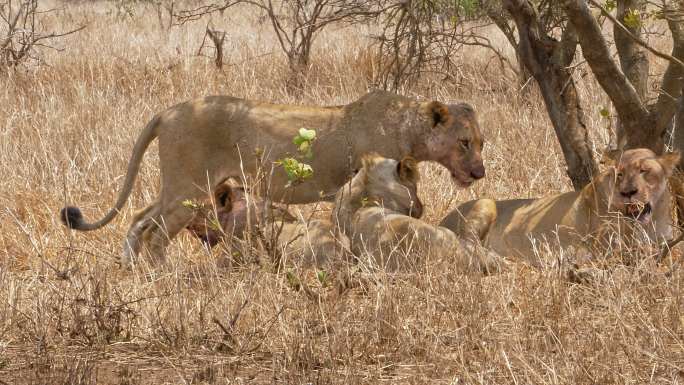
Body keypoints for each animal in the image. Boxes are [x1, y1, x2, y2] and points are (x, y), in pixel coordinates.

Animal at [440, 148, 680, 264]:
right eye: (619, 174)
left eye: (644, 171)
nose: (627, 192)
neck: (651, 222)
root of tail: (442, 220)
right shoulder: (603, 245)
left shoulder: (664, 239)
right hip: (485, 202)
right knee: (467, 245)